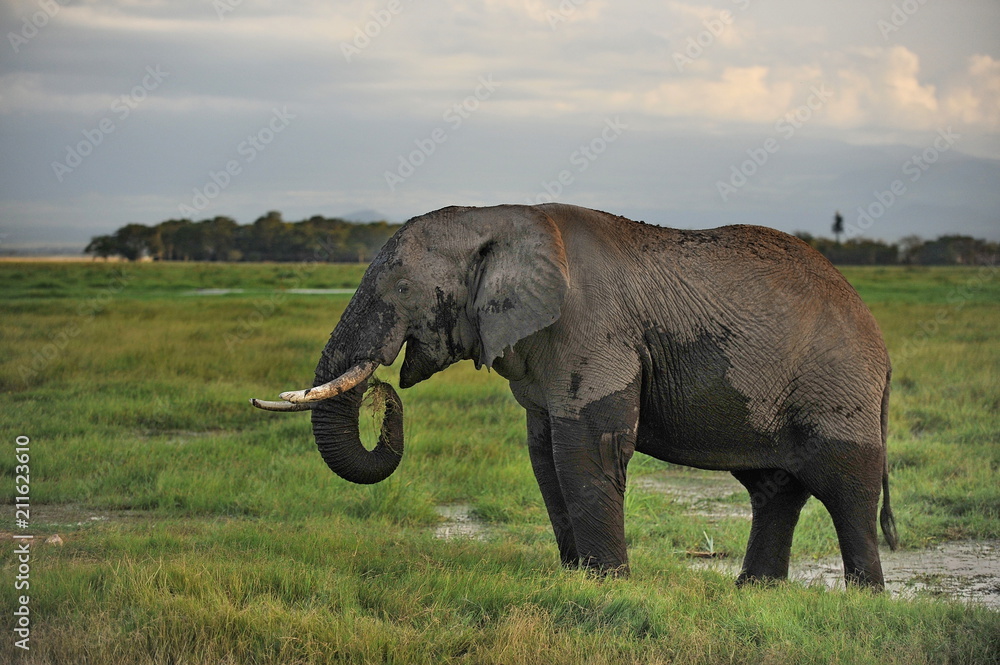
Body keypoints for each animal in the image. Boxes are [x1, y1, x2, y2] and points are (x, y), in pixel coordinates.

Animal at [251, 203, 899, 589]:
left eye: (403, 288)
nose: (383, 393)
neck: (500, 219)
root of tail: (880, 340)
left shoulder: (591, 330)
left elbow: (589, 448)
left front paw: (608, 585)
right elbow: (545, 455)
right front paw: (577, 579)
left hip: (837, 385)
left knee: (848, 485)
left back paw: (862, 600)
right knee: (775, 487)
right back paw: (754, 592)